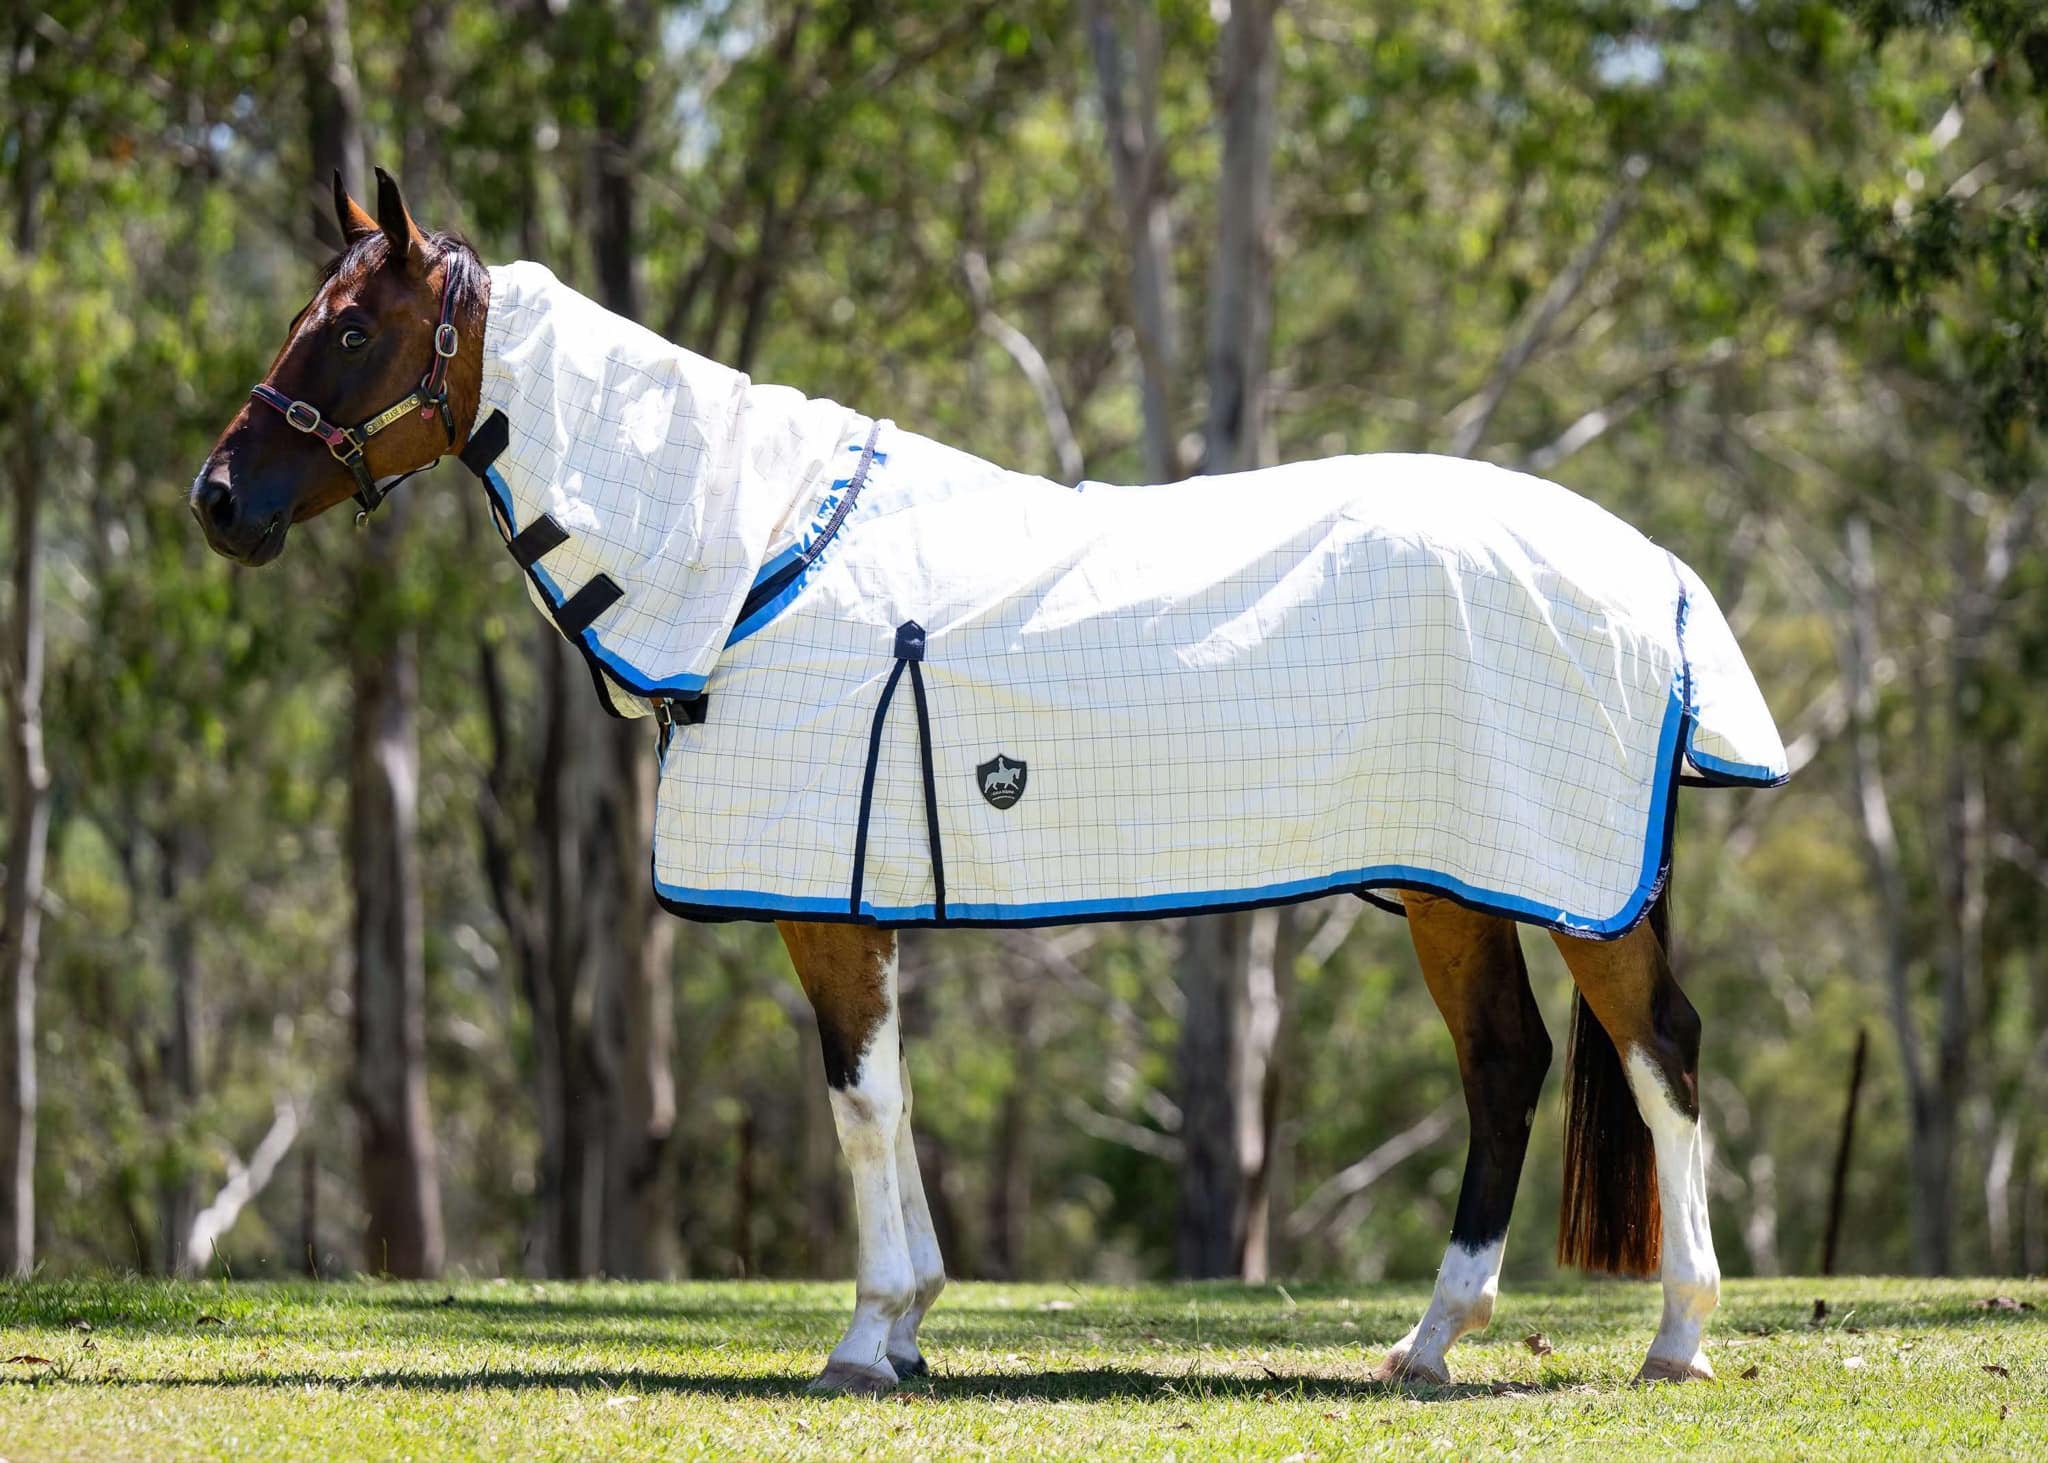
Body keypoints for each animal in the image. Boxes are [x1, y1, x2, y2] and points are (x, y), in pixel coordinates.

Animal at [195, 164, 1761, 1385]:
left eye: (349, 328)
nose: (217, 500)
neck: (757, 555)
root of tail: (1655, 572)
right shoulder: (862, 900)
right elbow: (886, 1098)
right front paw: (908, 1325)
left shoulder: (824, 904)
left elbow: (858, 1100)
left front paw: (867, 1332)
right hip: (1454, 886)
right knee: (1506, 1067)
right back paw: (1431, 1339)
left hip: (1568, 891)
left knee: (1658, 1052)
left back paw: (1677, 1336)